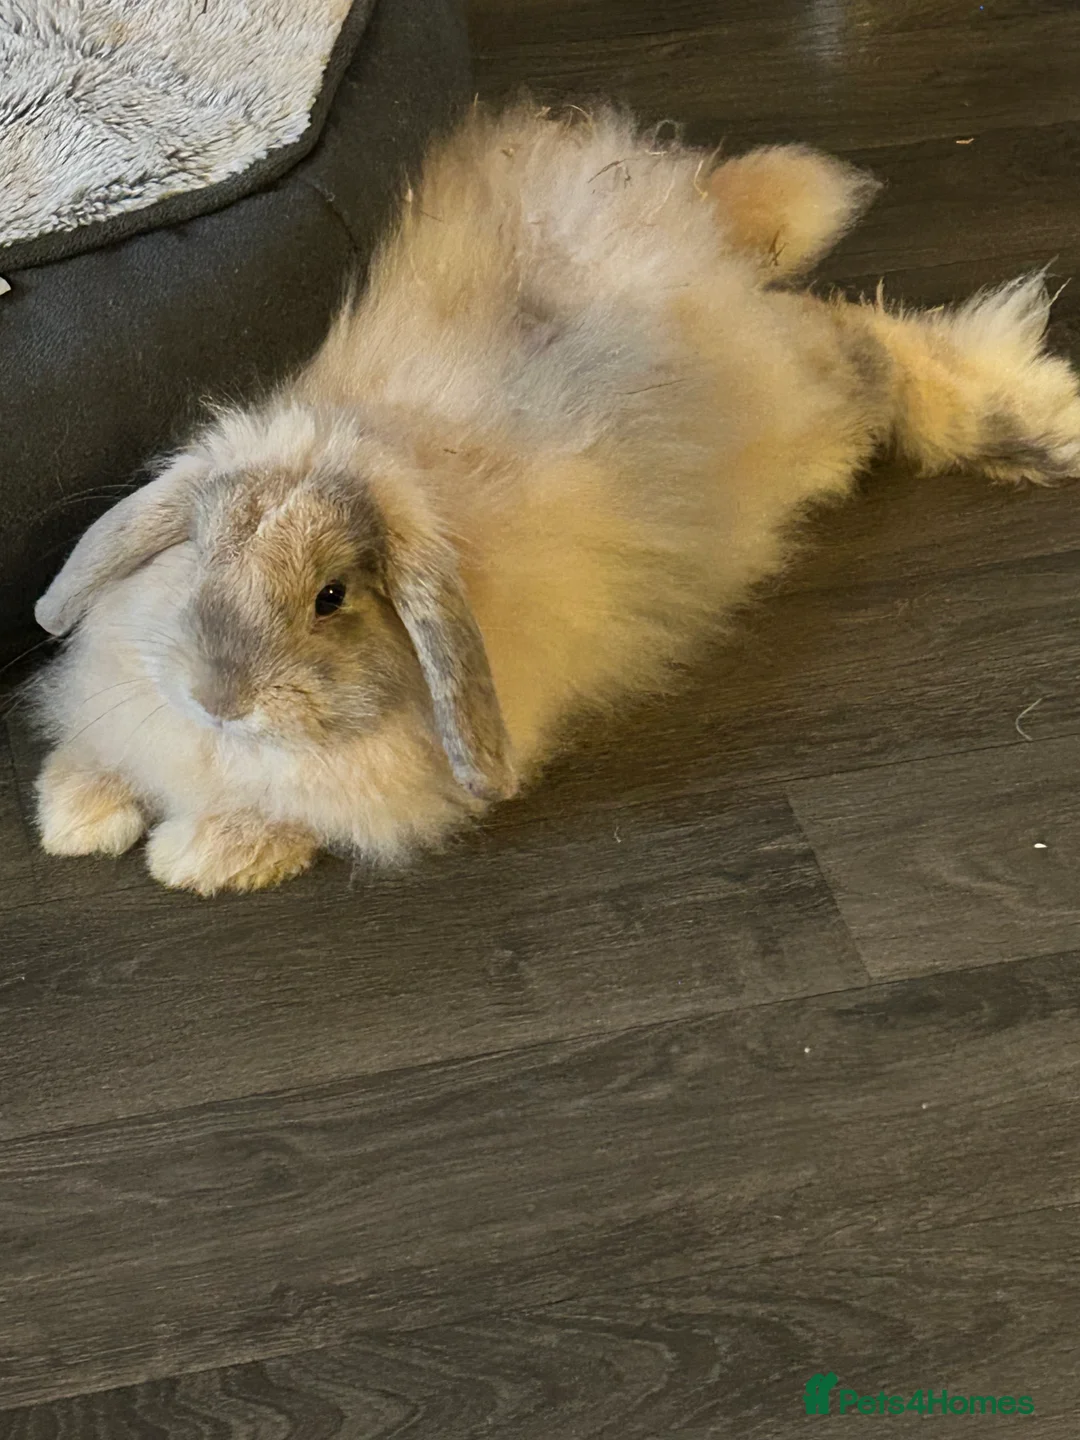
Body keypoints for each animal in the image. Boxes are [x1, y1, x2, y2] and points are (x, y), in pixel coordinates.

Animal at [30, 102, 1080, 894]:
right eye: (198, 556)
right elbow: (101, 757)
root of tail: (696, 227)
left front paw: (188, 855)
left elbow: (263, 823)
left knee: (881, 346)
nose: (219, 696)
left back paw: (1041, 418)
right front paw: (74, 816)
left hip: (827, 391)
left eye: (331, 598)